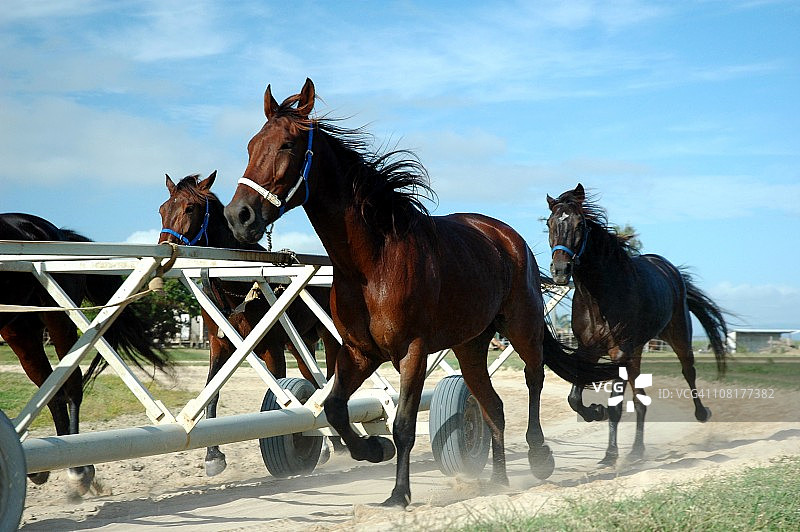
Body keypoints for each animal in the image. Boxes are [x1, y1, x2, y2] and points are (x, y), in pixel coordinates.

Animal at [158, 171, 339, 475]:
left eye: (190, 208)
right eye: (162, 209)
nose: (163, 248)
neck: (239, 284)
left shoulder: (272, 348)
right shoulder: (219, 345)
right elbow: (212, 392)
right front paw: (213, 456)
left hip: (329, 337)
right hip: (302, 342)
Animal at [223, 78, 621, 507]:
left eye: (287, 145)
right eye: (251, 145)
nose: (238, 216)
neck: (372, 263)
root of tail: (509, 239)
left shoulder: (412, 352)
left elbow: (404, 425)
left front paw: (398, 494)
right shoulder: (359, 352)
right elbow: (334, 408)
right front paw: (373, 449)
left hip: (521, 327)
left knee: (534, 378)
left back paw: (538, 455)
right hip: (470, 346)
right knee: (494, 408)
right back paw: (498, 480)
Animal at [546, 183, 729, 465]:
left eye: (580, 224)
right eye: (550, 223)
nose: (560, 271)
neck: (600, 296)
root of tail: (669, 269)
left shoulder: (619, 353)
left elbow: (615, 406)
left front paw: (610, 455)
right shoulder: (588, 350)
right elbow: (574, 398)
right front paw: (595, 412)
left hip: (677, 336)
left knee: (689, 372)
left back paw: (702, 414)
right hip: (637, 353)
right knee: (642, 400)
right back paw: (636, 451)